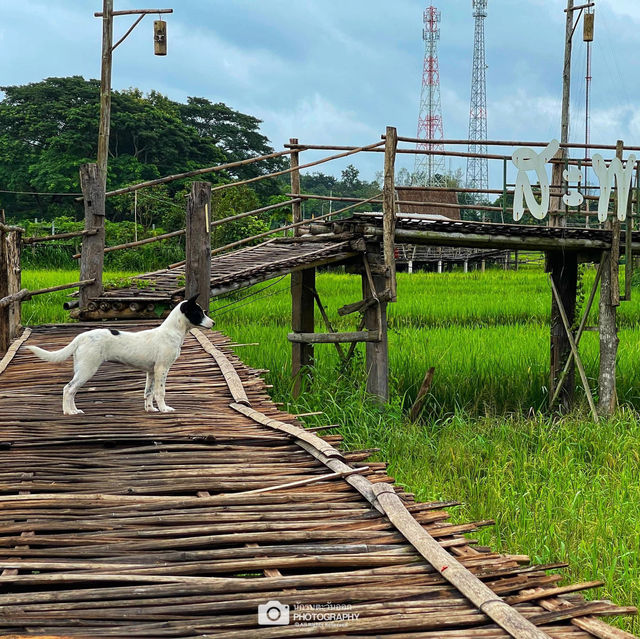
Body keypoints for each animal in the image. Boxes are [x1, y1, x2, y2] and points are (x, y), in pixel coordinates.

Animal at [26, 296, 215, 418]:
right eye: (199, 313)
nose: (213, 323)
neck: (173, 331)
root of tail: (80, 337)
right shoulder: (162, 368)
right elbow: (160, 392)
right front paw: (164, 409)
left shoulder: (151, 371)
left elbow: (148, 392)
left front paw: (150, 410)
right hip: (88, 368)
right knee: (68, 389)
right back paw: (69, 412)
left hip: (80, 368)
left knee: (72, 390)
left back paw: (75, 410)